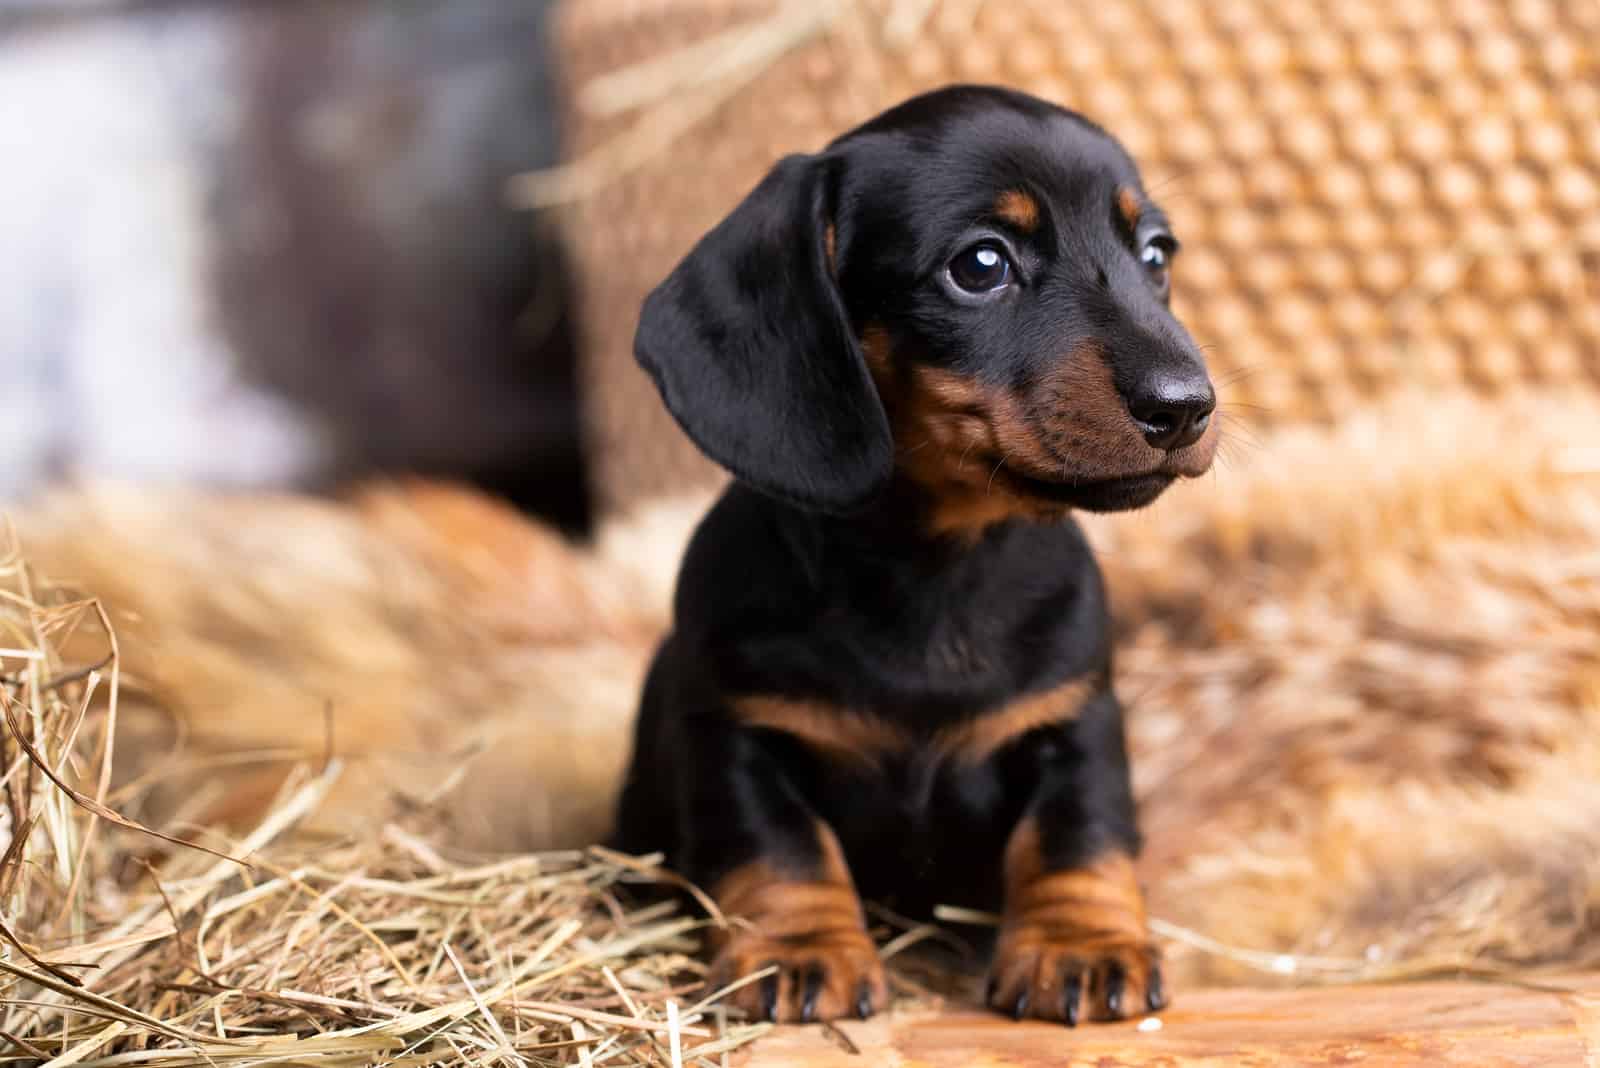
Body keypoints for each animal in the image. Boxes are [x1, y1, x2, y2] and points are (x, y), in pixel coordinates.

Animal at [608, 85, 1209, 1023]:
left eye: (1155, 254)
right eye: (982, 264)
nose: (1188, 407)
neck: (938, 571)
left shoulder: (1075, 720)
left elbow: (1076, 835)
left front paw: (1081, 945)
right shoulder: (739, 736)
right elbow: (781, 848)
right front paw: (800, 951)